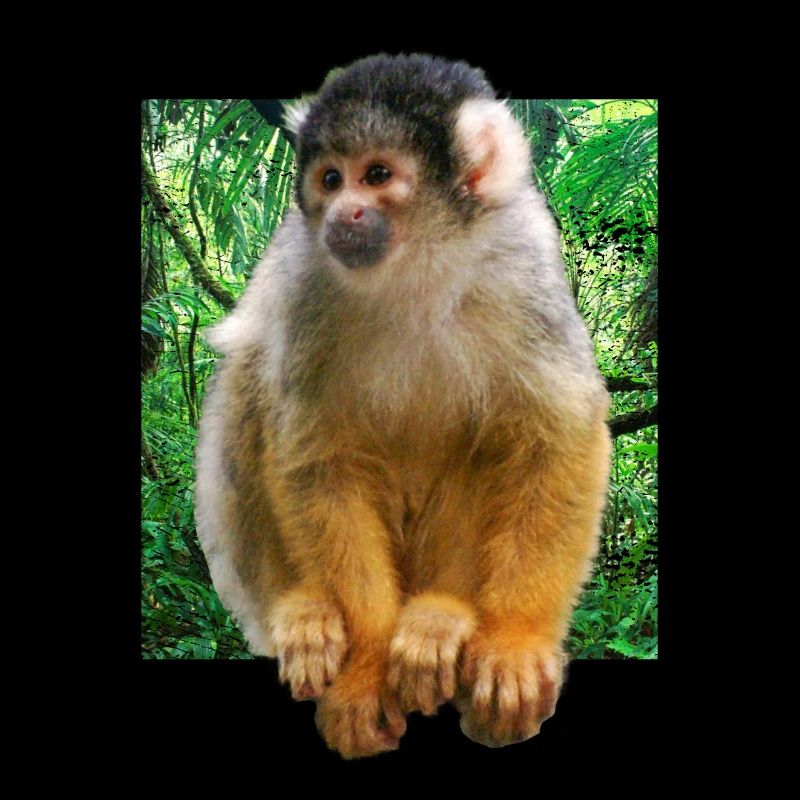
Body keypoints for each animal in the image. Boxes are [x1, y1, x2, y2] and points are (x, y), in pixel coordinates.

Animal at [195, 54, 611, 758]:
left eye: (378, 176)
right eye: (330, 179)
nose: (344, 214)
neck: (418, 264)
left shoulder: (522, 265)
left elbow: (557, 437)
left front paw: (515, 640)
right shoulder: (307, 281)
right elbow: (318, 460)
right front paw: (365, 671)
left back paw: (443, 617)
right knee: (251, 370)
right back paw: (300, 611)